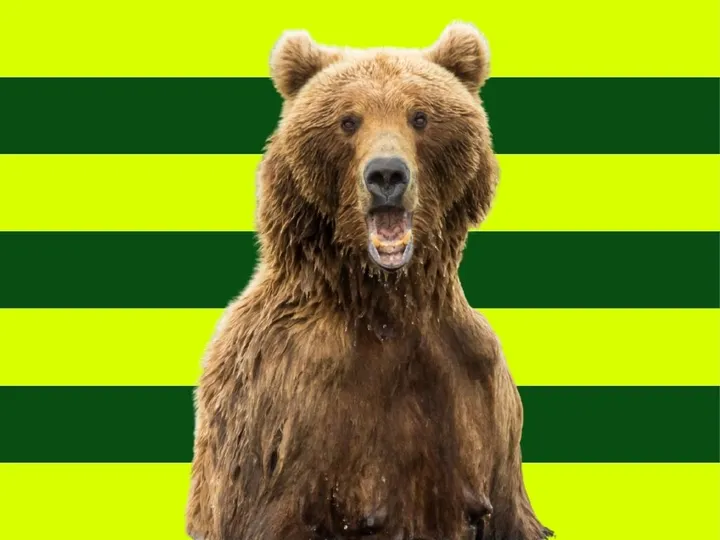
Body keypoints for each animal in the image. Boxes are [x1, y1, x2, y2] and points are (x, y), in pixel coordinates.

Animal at [186, 21, 553, 540]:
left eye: (420, 116)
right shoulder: (286, 398)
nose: (386, 174)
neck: (388, 298)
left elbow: (506, 511)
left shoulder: (479, 386)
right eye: (348, 120)